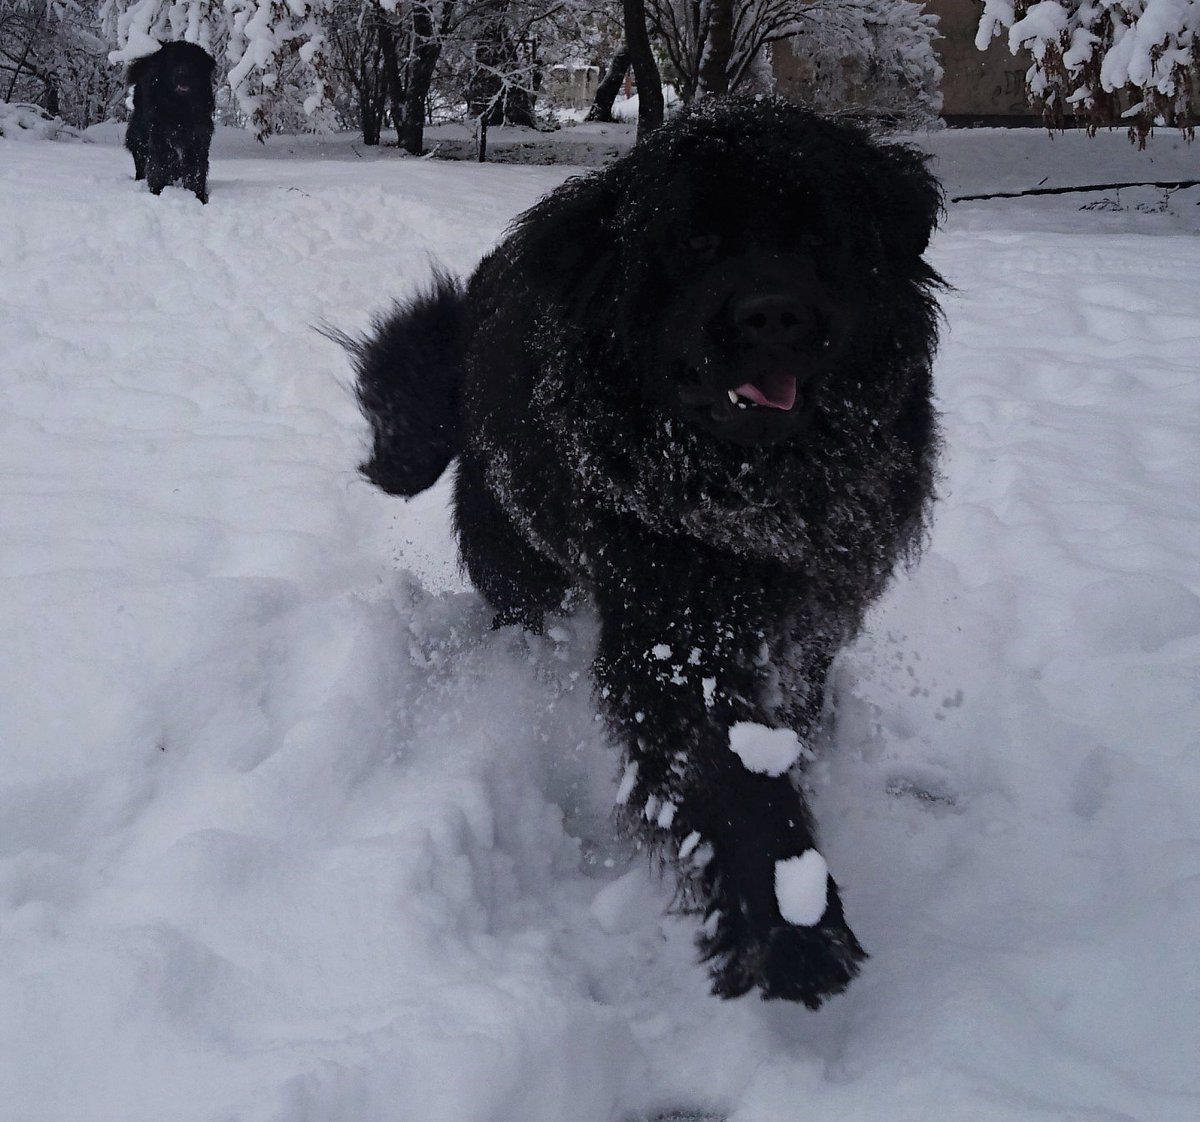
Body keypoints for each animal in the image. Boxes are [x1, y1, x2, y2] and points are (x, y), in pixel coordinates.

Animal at [124, 40, 216, 202]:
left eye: (193, 62)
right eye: (174, 62)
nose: (183, 73)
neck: (180, 110)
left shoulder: (198, 141)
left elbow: (197, 173)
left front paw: (199, 198)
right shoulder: (159, 140)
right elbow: (158, 169)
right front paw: (157, 193)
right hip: (140, 135)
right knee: (140, 158)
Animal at [350, 99, 945, 1008]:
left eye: (819, 237)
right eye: (694, 241)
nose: (773, 312)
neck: (754, 492)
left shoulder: (815, 613)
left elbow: (786, 723)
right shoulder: (673, 631)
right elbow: (729, 777)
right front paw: (793, 927)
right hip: (516, 551)